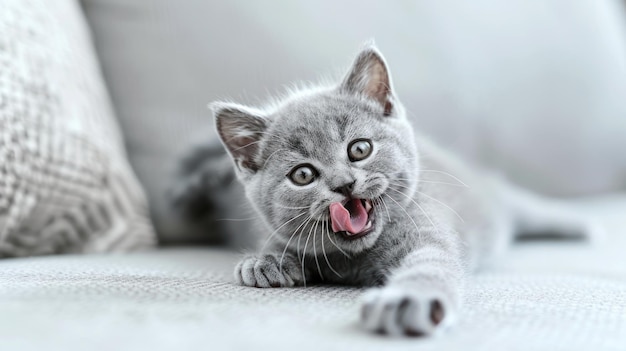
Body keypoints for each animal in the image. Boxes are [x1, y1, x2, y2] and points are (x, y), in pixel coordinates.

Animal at [199, 44, 588, 338]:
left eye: (359, 149)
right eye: (303, 174)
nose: (344, 184)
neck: (355, 259)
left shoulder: (426, 227)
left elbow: (430, 263)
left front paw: (407, 300)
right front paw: (266, 260)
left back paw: (577, 225)